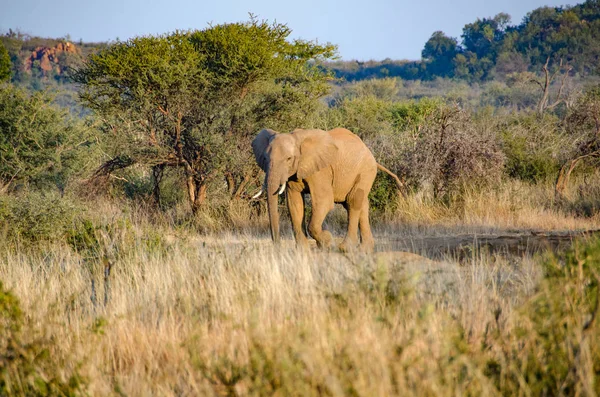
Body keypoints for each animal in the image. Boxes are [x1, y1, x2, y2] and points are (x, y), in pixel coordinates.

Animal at [251, 127, 400, 251]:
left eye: (288, 159)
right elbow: (295, 204)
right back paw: (365, 249)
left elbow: (324, 202)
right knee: (361, 203)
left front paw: (327, 242)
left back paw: (345, 248)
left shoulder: (321, 170)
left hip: (366, 170)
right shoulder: (295, 172)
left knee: (353, 201)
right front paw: (302, 250)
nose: (277, 247)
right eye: (264, 158)